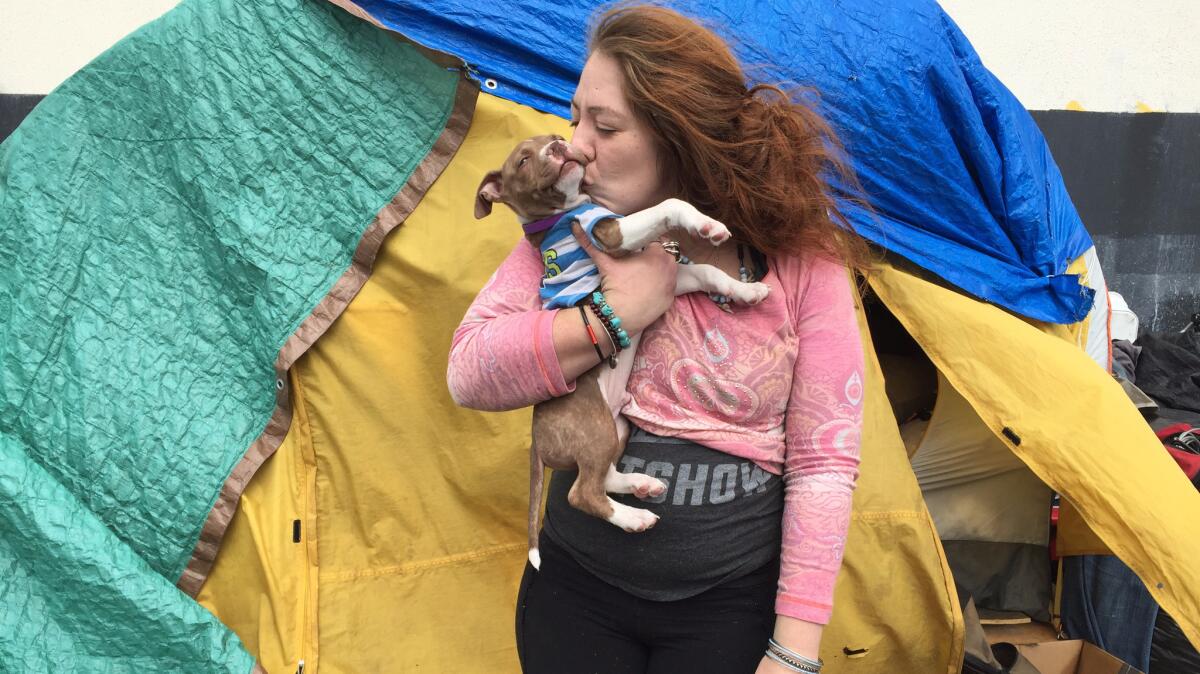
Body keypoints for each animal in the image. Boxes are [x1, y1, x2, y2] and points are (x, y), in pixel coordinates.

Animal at [475, 133, 768, 563]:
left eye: (557, 138)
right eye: (524, 160)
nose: (559, 147)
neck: (565, 211)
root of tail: (537, 440)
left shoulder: (671, 279)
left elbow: (708, 271)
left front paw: (747, 291)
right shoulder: (610, 235)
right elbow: (668, 204)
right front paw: (706, 223)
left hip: (618, 426)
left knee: (602, 475)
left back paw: (640, 487)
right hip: (594, 426)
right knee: (583, 493)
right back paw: (633, 519)